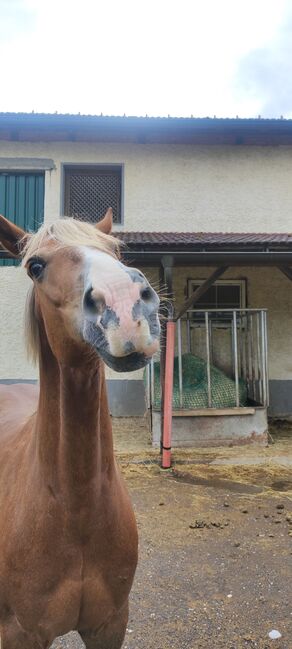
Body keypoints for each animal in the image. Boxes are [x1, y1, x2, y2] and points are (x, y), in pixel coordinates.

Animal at [0, 210, 160, 644]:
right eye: (35, 267)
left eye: (116, 251)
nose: (124, 302)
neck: (76, 506)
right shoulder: (20, 633)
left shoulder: (109, 625)